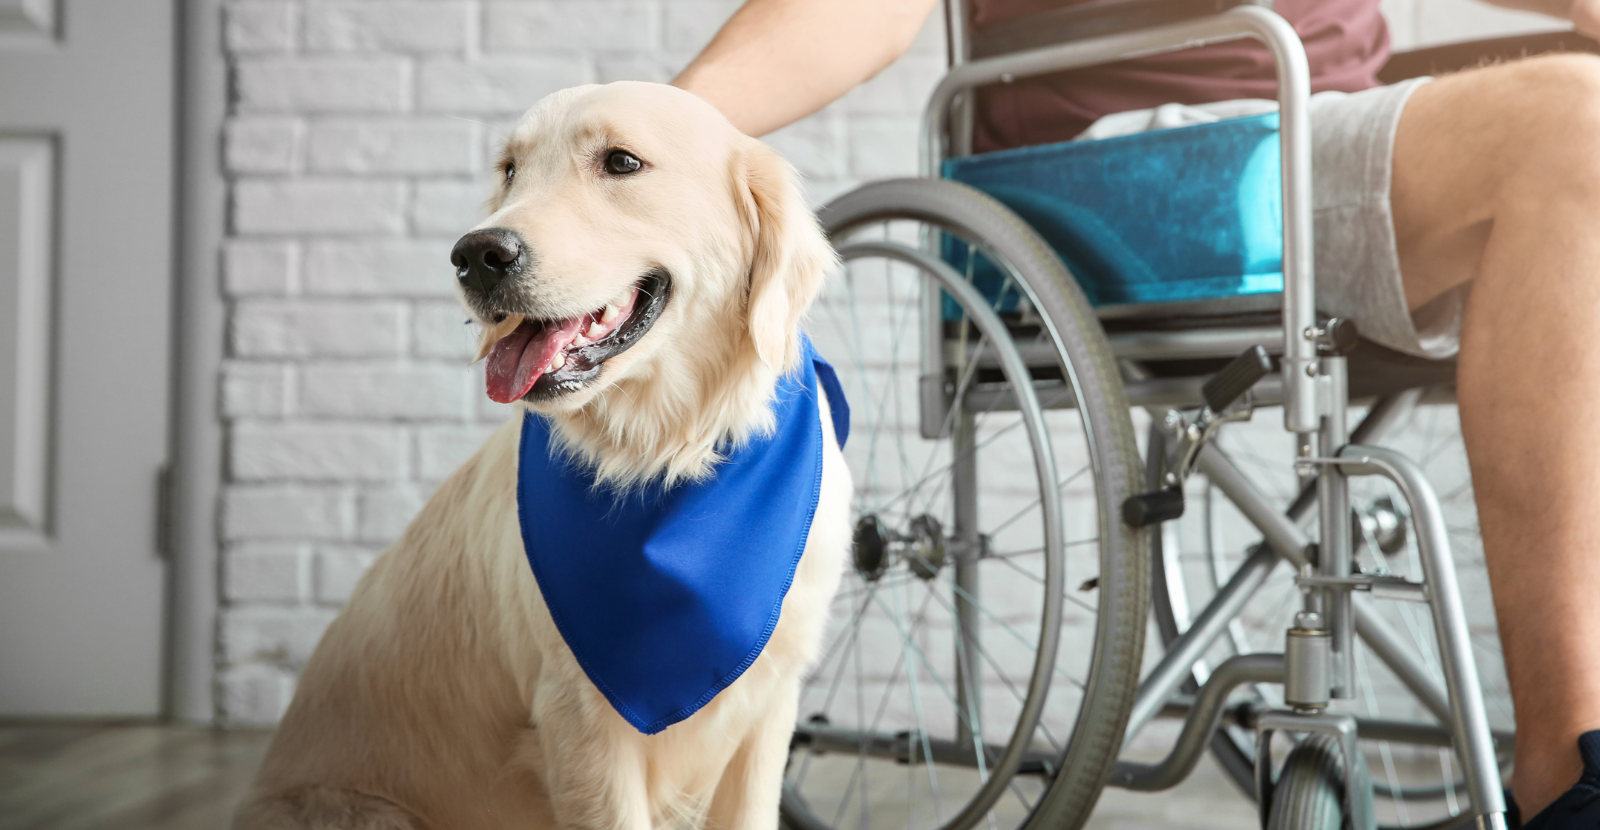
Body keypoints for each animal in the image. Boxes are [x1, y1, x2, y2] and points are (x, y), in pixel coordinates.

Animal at [233, 82, 857, 830]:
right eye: (509, 170)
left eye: (622, 162)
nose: (475, 254)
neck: (662, 456)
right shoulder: (581, 720)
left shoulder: (767, 704)